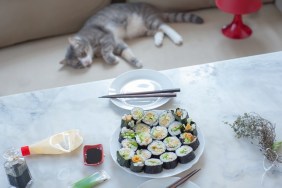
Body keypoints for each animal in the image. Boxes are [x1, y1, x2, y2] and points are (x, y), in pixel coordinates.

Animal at [59, 2, 203, 68]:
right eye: (78, 64)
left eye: (82, 54)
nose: (86, 63)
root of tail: (154, 8)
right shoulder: (117, 42)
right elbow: (126, 52)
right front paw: (135, 61)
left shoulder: (106, 37)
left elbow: (106, 52)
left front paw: (111, 59)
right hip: (144, 30)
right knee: (159, 31)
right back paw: (158, 40)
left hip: (149, 19)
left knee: (164, 26)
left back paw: (176, 38)